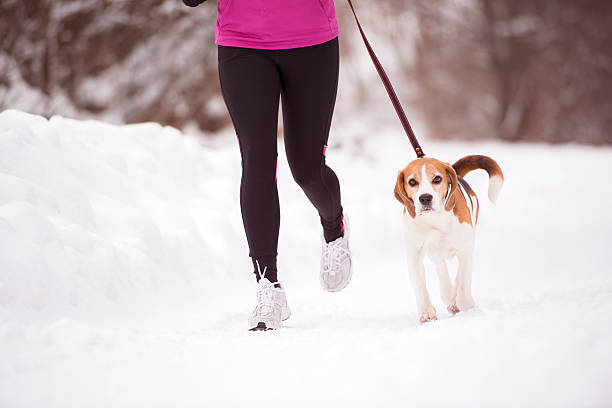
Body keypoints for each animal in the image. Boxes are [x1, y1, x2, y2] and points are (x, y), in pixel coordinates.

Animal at [394, 155, 504, 324]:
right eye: (412, 182)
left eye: (437, 179)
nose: (425, 198)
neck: (434, 219)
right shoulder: (414, 254)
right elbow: (419, 285)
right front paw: (426, 314)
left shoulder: (465, 250)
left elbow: (463, 281)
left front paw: (467, 307)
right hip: (435, 254)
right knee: (442, 271)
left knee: (458, 277)